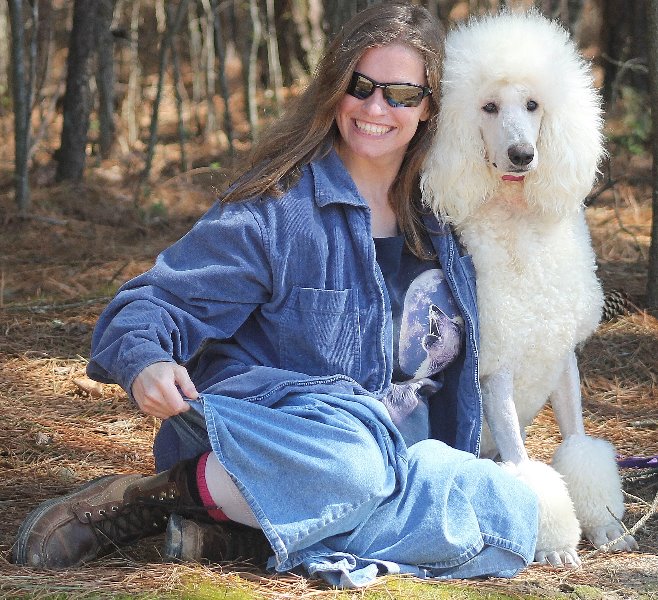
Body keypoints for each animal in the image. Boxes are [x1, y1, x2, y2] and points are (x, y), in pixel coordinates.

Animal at [421, 10, 638, 567]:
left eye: (534, 105)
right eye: (489, 107)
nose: (522, 155)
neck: (520, 222)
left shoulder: (561, 353)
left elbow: (578, 442)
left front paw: (606, 527)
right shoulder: (495, 365)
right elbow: (523, 466)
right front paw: (557, 544)